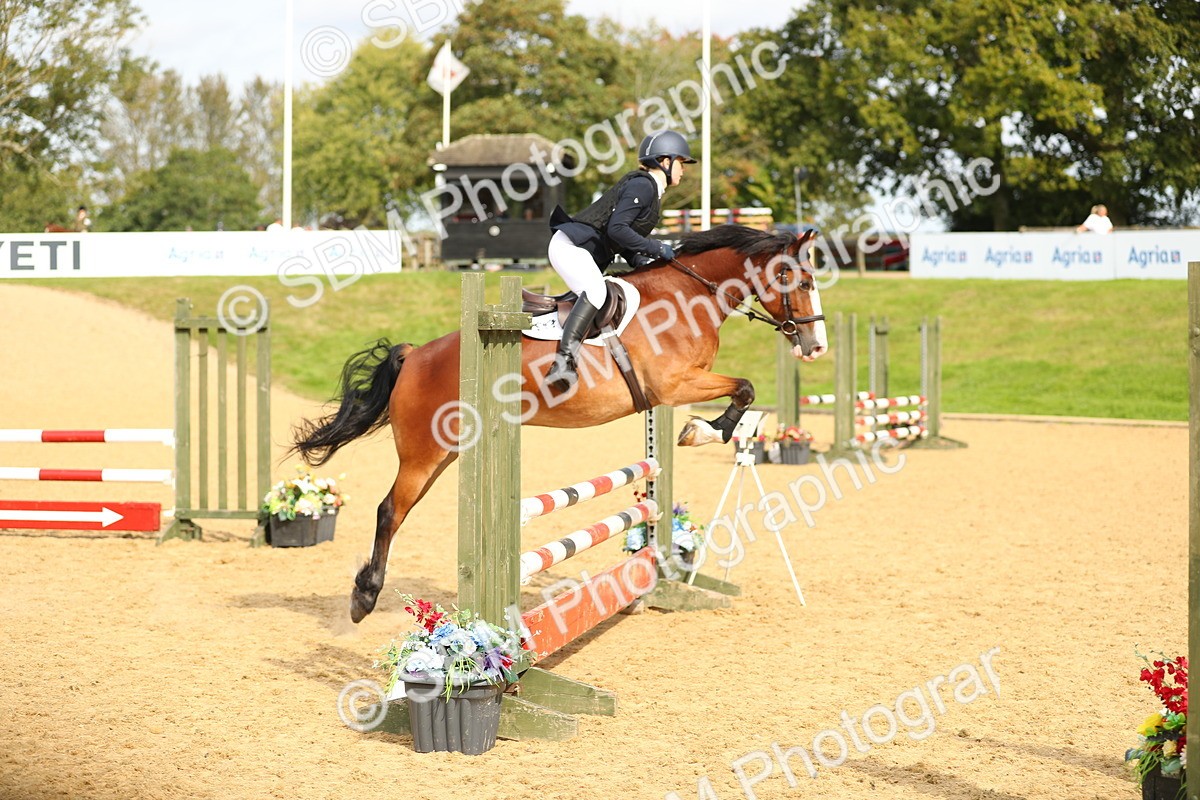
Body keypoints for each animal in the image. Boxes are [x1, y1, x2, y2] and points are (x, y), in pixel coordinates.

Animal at [293, 225, 828, 622]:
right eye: (802, 283)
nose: (815, 346)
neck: (689, 295)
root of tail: (415, 354)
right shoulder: (674, 386)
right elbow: (745, 388)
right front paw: (702, 430)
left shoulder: (678, 388)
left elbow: (743, 391)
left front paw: (701, 430)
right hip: (423, 453)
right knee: (390, 511)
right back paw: (364, 597)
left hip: (447, 452)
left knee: (401, 509)